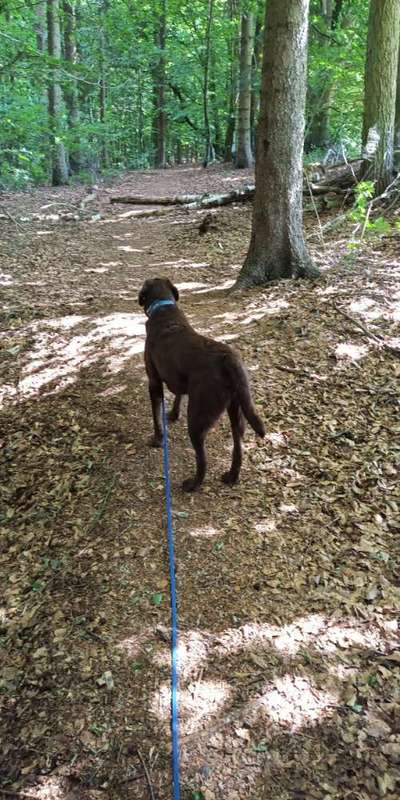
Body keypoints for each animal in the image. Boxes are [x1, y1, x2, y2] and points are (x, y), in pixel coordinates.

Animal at [138, 276, 266, 490]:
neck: (163, 307)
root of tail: (227, 357)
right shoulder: (177, 377)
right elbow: (178, 396)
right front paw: (173, 414)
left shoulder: (154, 382)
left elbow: (156, 418)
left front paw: (158, 439)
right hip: (236, 410)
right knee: (238, 445)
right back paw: (232, 476)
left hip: (198, 418)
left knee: (202, 458)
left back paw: (193, 484)